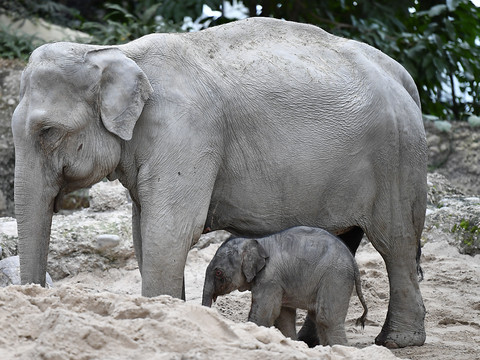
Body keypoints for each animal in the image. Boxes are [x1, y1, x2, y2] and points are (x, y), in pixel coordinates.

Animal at [202, 225, 368, 346]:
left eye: (218, 273)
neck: (257, 241)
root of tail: (353, 261)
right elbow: (284, 316)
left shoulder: (270, 279)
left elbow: (265, 314)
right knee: (318, 319)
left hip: (335, 277)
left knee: (326, 319)